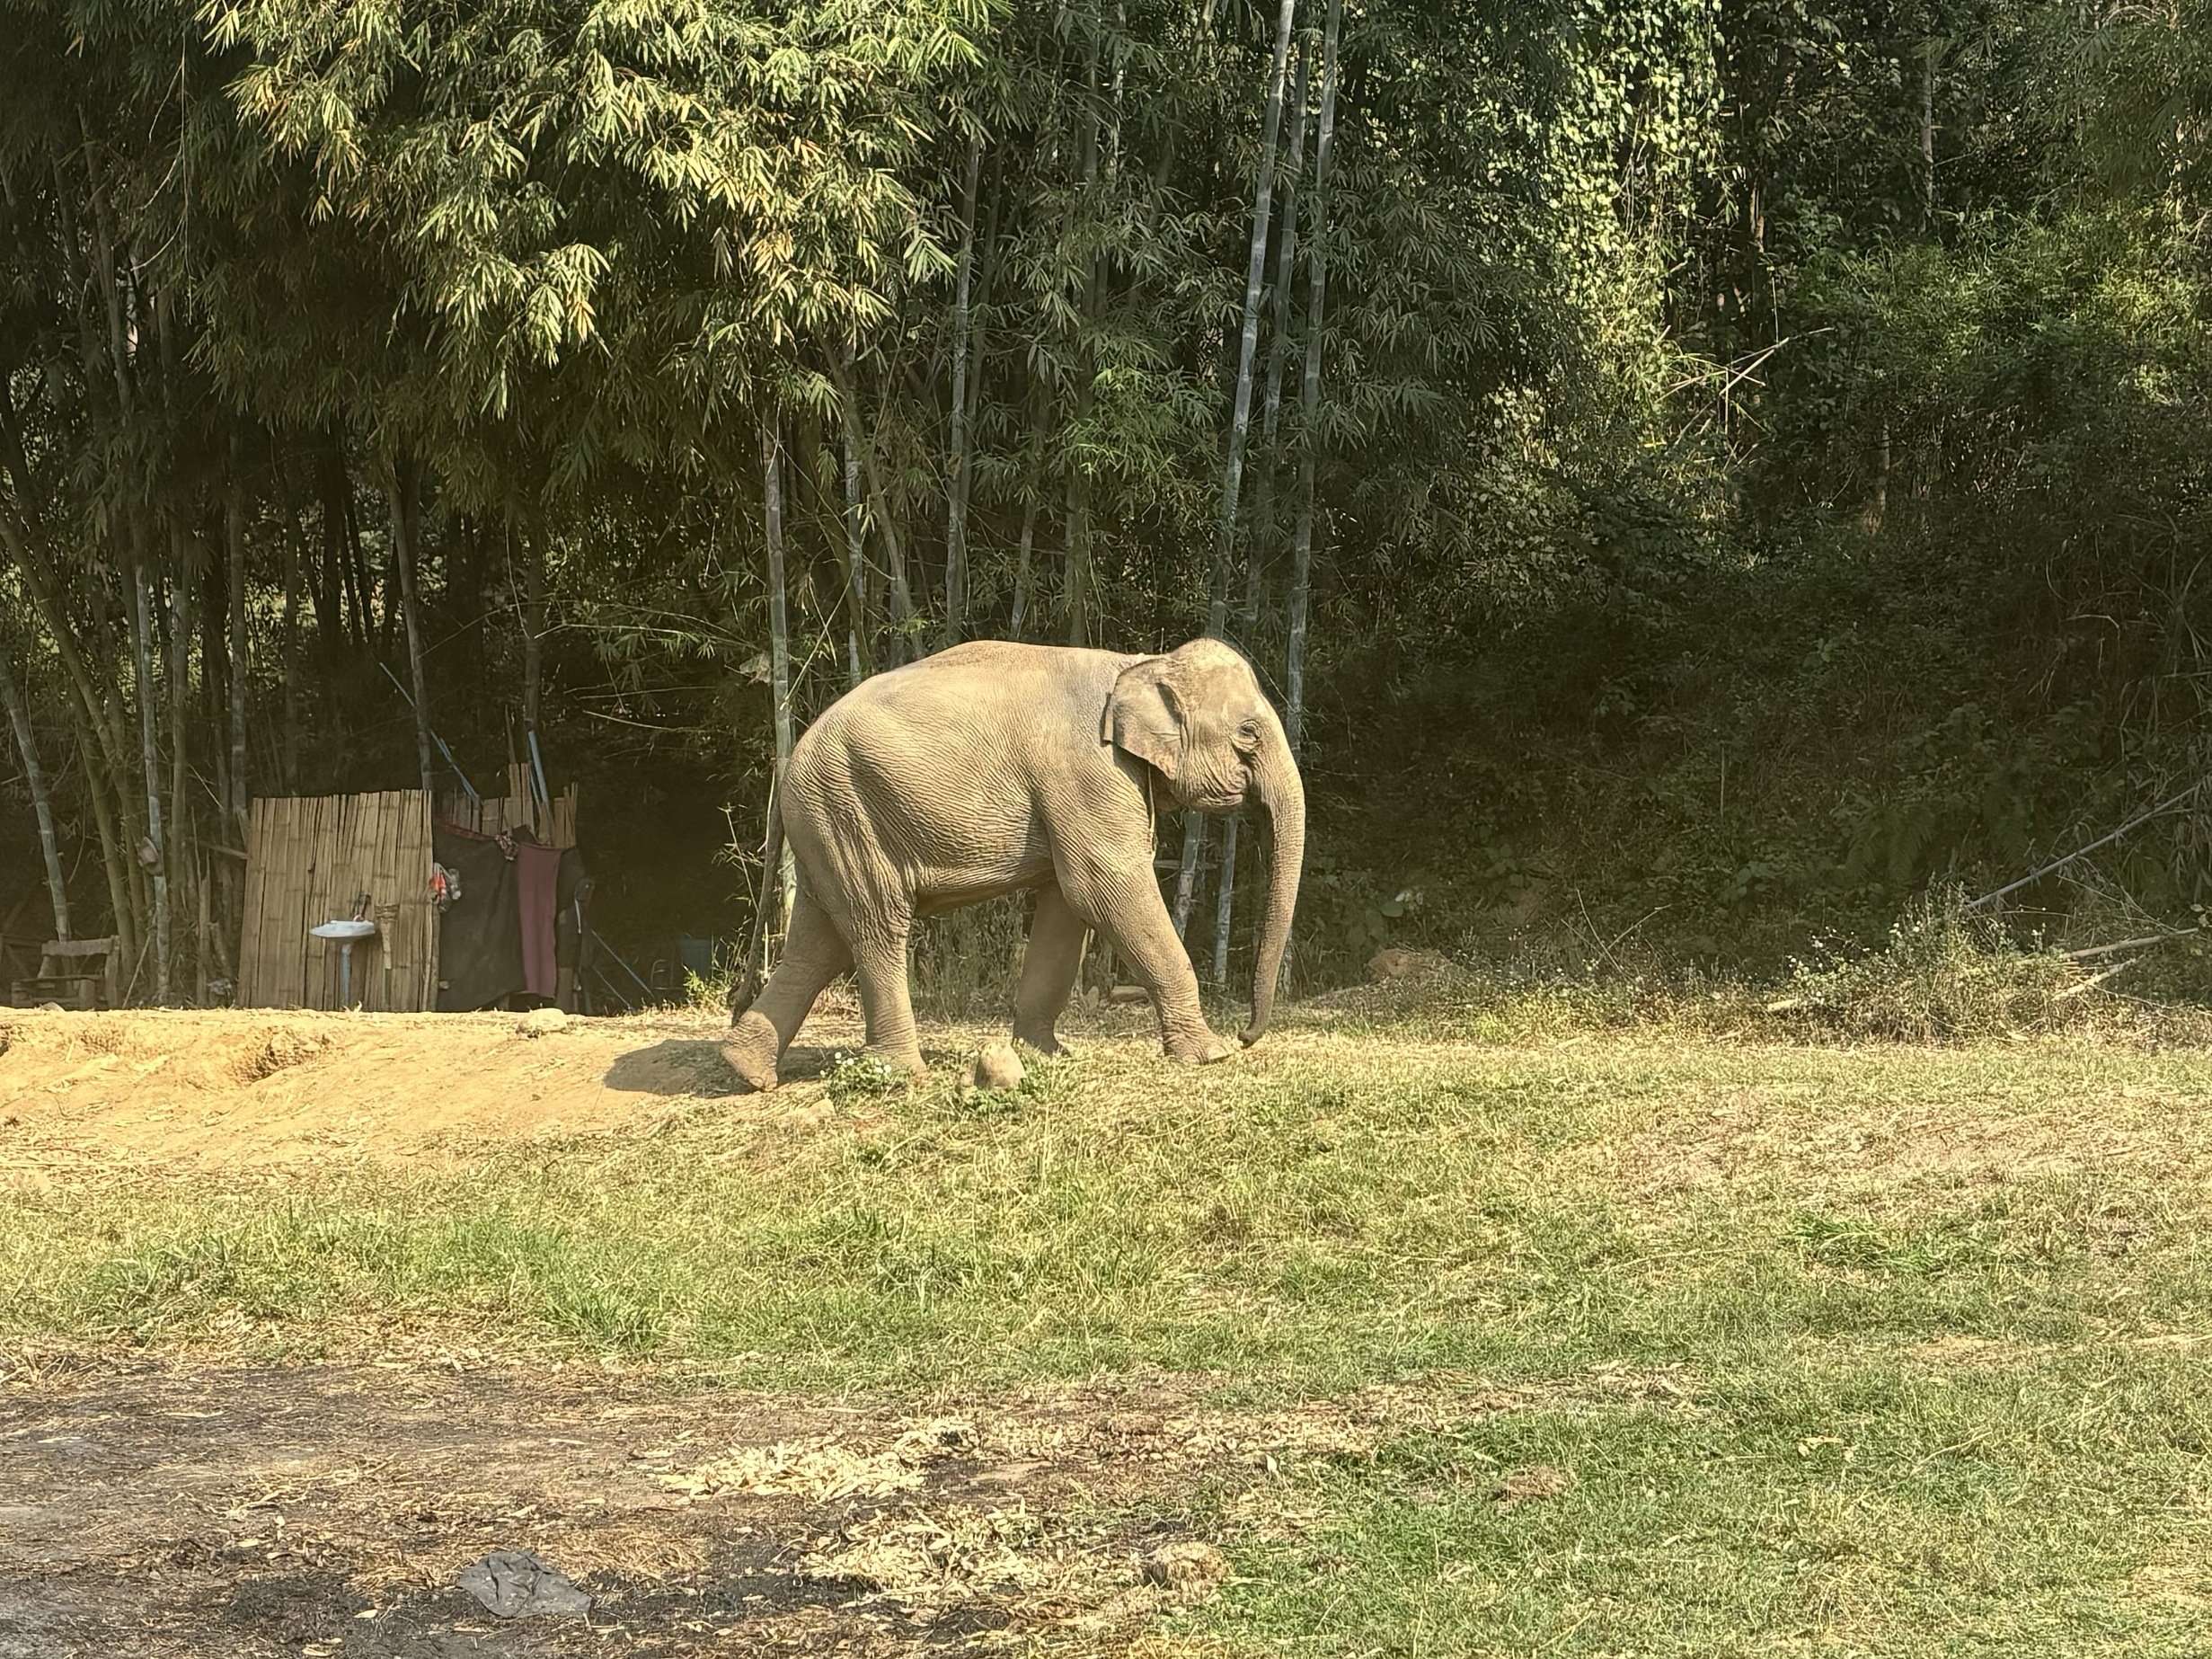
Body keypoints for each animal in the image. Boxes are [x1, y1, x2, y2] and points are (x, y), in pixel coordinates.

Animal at [719, 636, 1306, 1089]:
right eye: (1249, 732)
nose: (1246, 1035)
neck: (1139, 662)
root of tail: (788, 762)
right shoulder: (1088, 771)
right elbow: (1105, 887)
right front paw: (1210, 1055)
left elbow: (1067, 905)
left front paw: (1047, 1055)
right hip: (848, 810)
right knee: (876, 928)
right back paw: (902, 1076)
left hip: (827, 826)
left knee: (820, 941)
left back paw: (747, 1072)